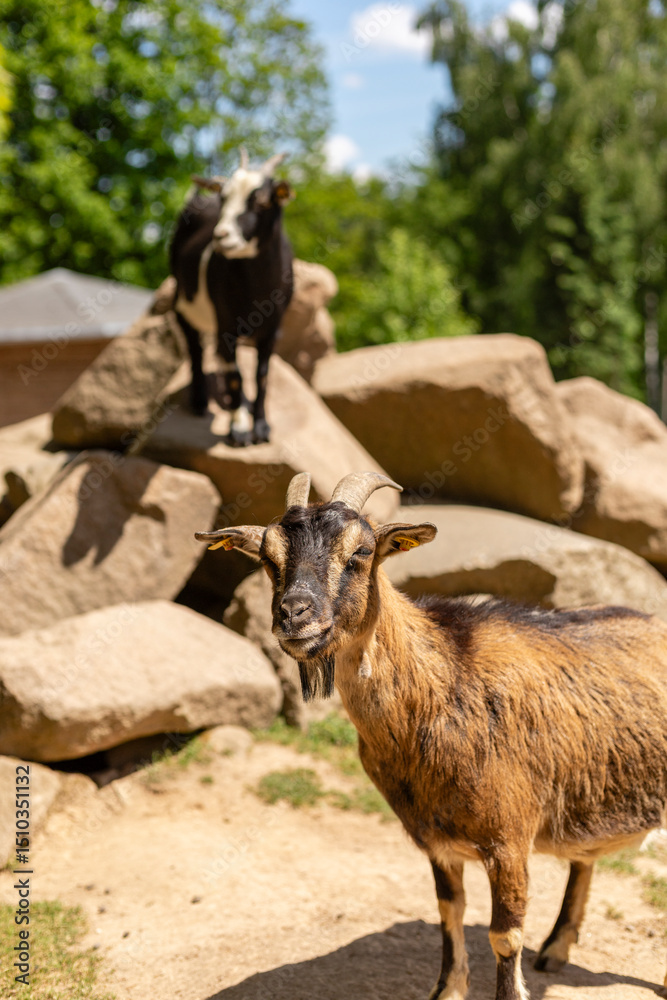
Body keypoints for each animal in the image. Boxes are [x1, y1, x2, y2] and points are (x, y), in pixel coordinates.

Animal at [169, 147, 294, 445]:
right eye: (224, 197)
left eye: (262, 201)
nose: (221, 236)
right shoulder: (226, 323)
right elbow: (236, 373)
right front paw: (239, 430)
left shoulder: (274, 328)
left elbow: (262, 374)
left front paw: (261, 426)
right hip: (181, 299)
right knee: (196, 348)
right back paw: (200, 401)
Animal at [195, 471, 667, 1000]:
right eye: (268, 557)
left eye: (361, 552)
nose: (294, 615)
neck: (444, 684)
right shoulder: (436, 841)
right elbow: (449, 913)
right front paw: (448, 989)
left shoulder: (510, 838)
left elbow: (504, 936)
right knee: (583, 860)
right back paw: (555, 950)